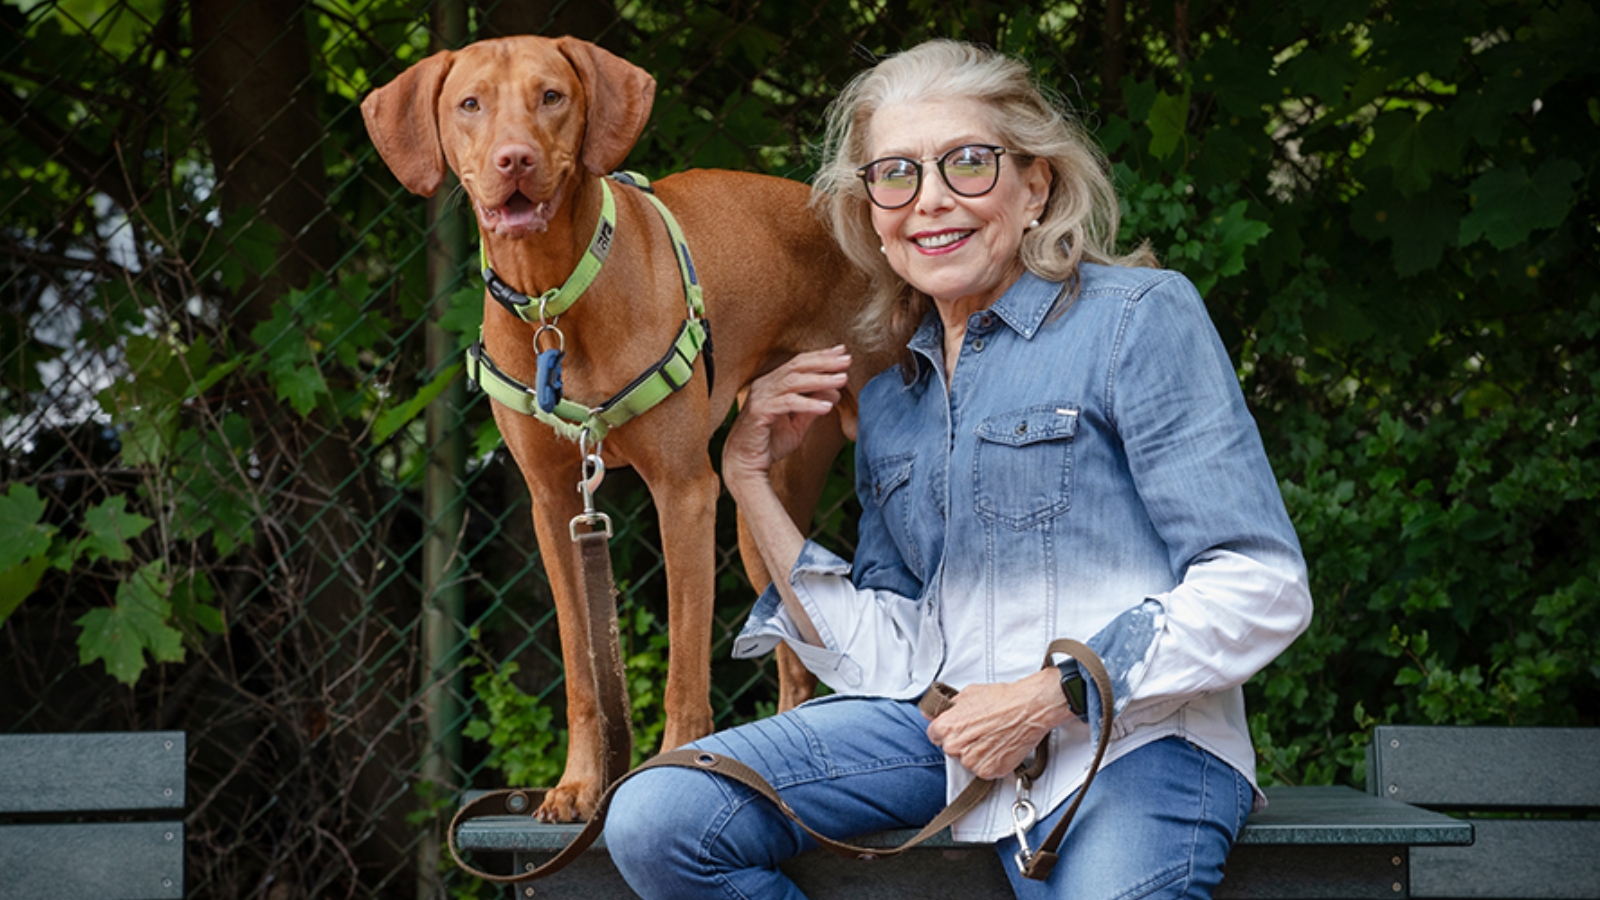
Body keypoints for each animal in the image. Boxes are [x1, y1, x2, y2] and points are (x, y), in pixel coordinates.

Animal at [364, 36, 889, 819]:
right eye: (470, 103)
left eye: (552, 96)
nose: (514, 159)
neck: (554, 299)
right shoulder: (555, 508)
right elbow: (582, 670)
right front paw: (581, 783)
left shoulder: (685, 493)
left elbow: (684, 668)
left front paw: (676, 766)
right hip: (760, 515)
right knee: (798, 665)